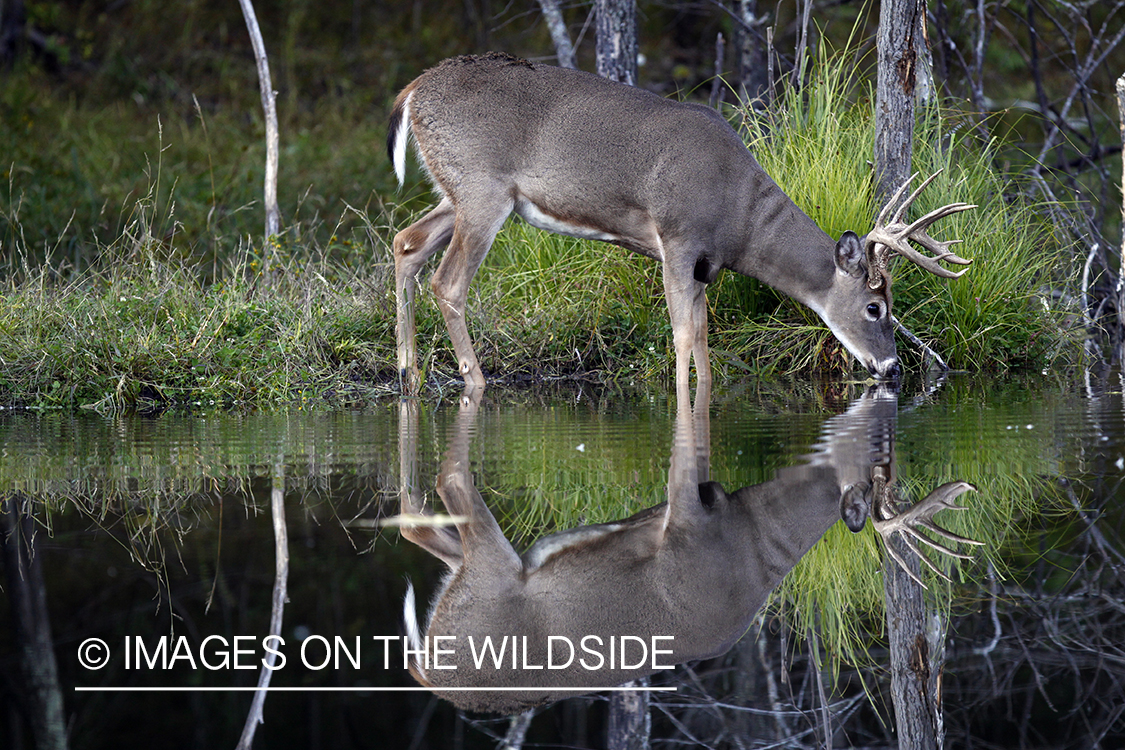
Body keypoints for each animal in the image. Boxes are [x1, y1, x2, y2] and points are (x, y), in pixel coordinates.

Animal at [387, 52, 976, 395]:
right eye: (876, 307)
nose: (892, 368)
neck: (739, 218)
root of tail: (412, 90)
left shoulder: (705, 265)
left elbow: (703, 334)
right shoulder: (678, 237)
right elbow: (683, 333)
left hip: (456, 193)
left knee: (406, 242)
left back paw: (408, 373)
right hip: (482, 188)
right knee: (448, 281)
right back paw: (475, 382)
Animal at [387, 386, 976, 715]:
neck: (753, 544)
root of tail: (434, 678)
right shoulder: (685, 522)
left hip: (467, 580)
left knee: (427, 532)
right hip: (488, 583)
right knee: (446, 490)